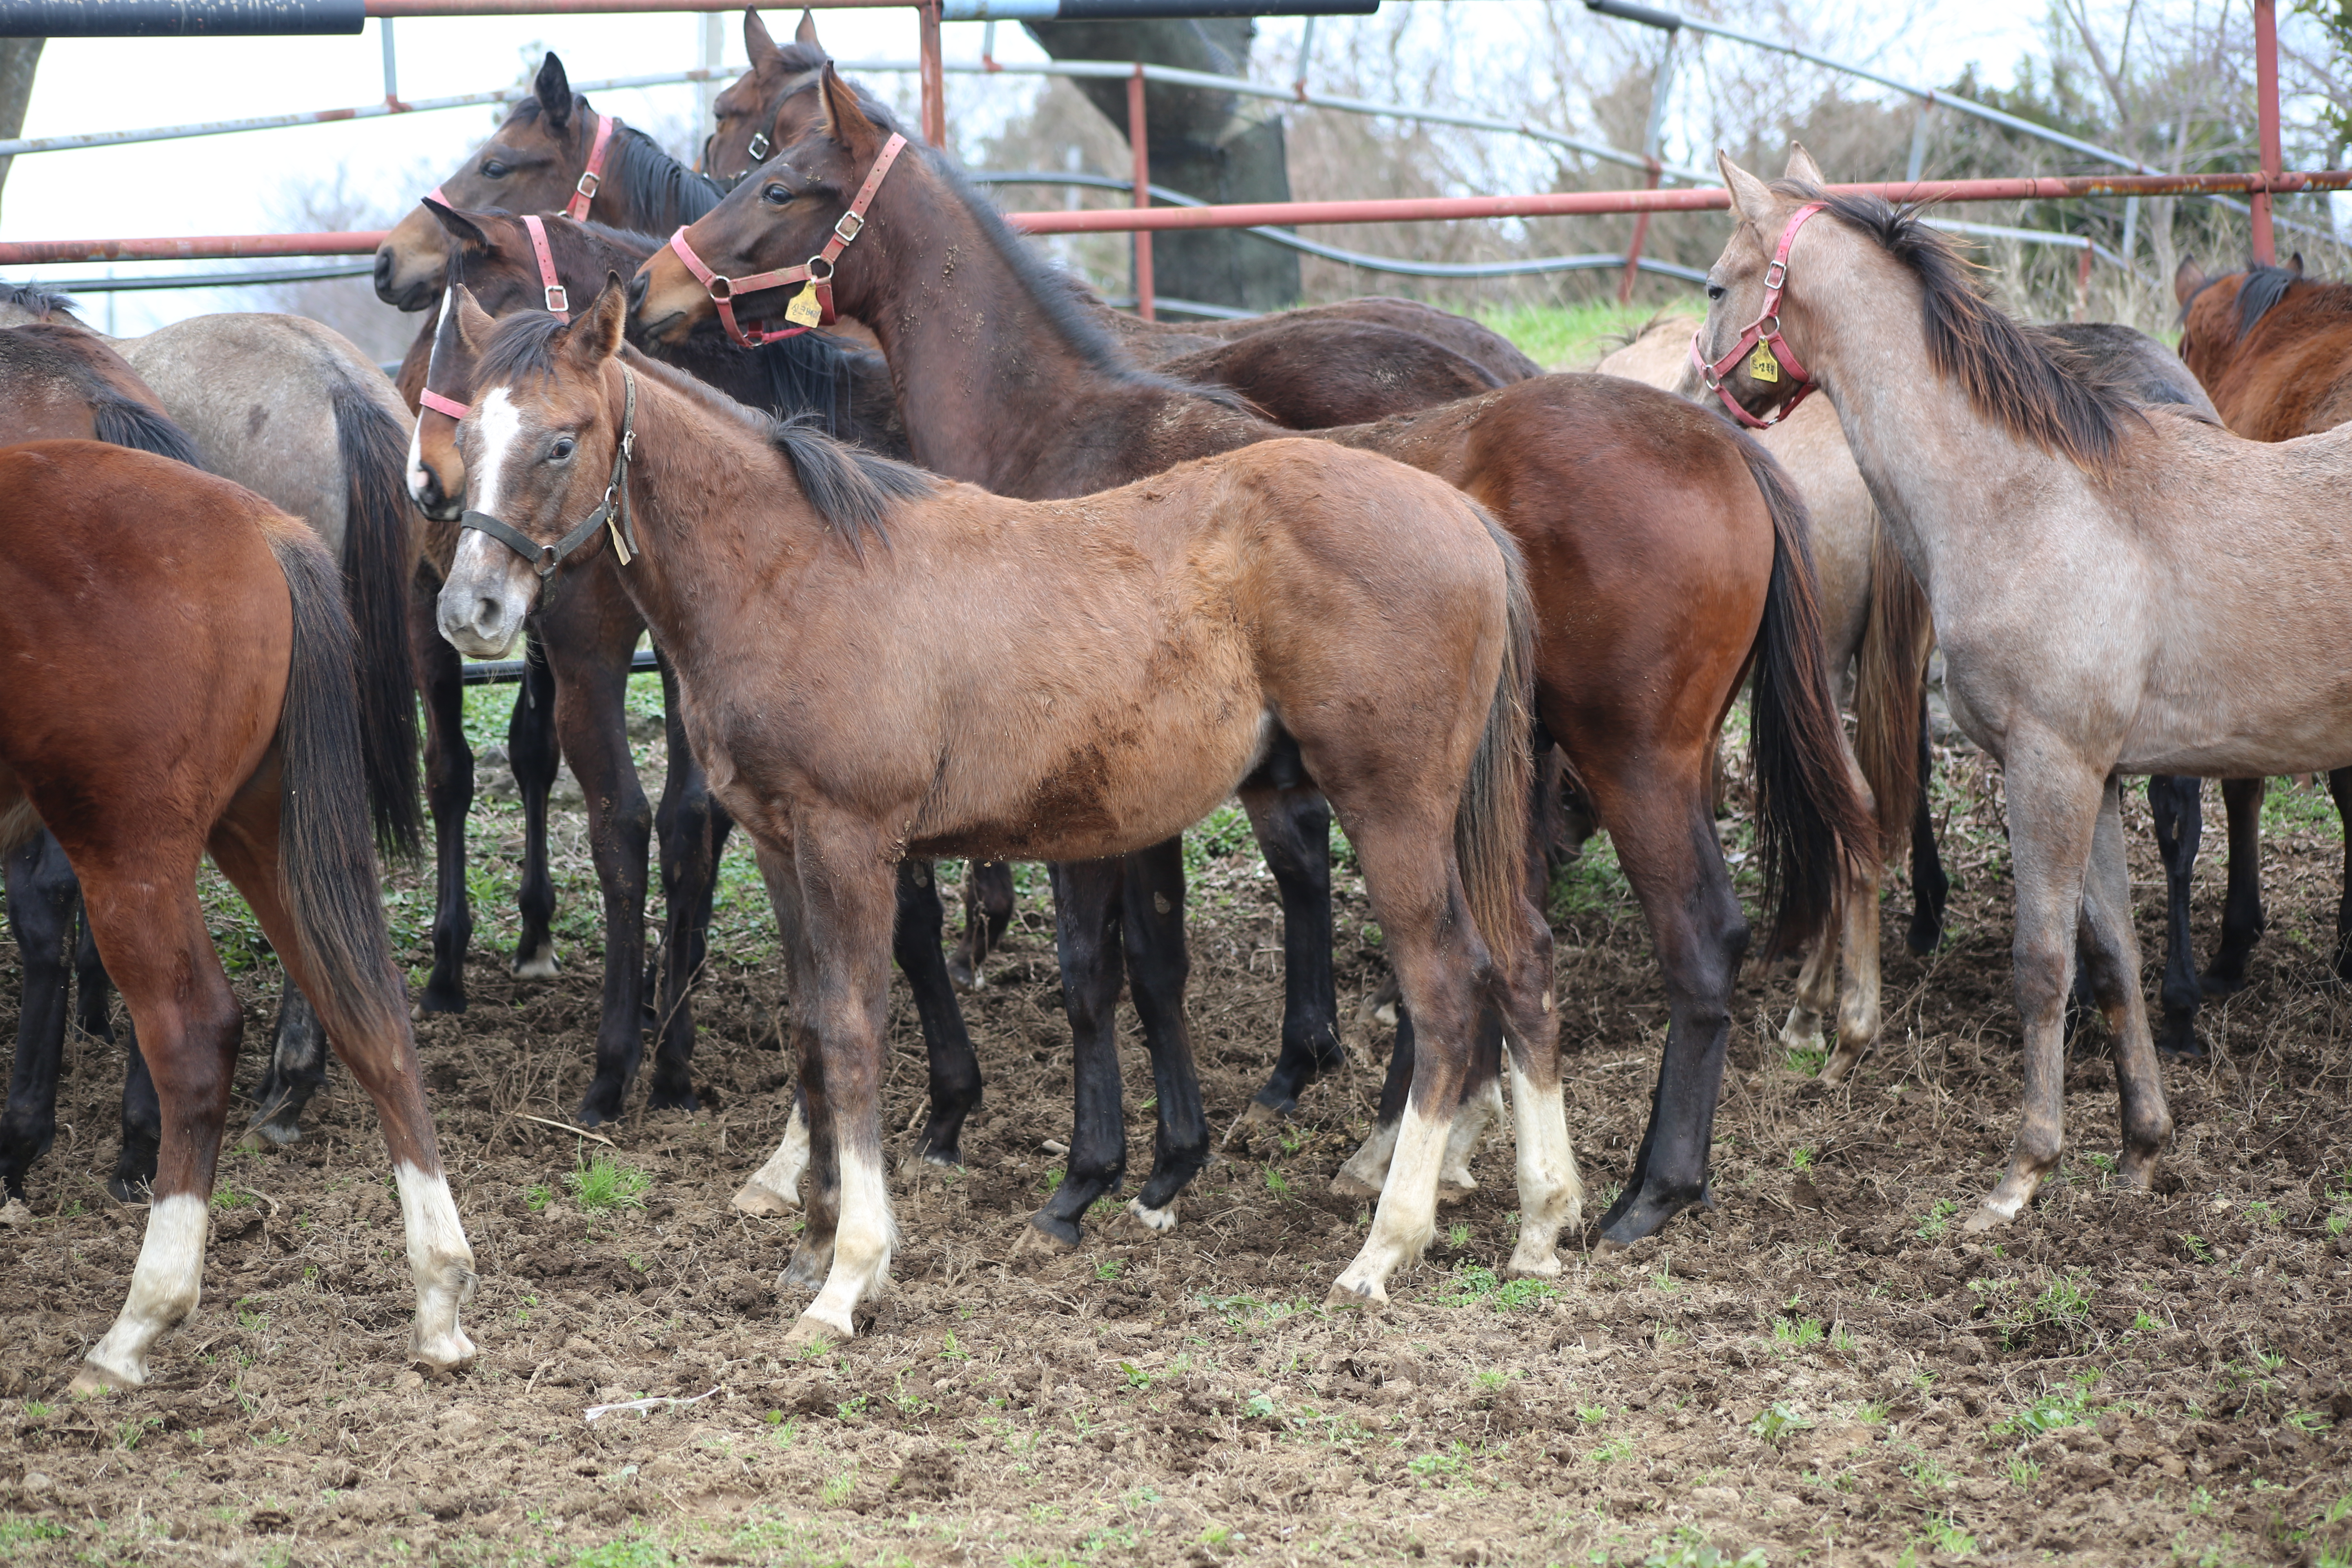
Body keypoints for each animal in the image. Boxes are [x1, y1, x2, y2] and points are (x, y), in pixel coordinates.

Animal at [1, 439, 482, 1382]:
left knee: (195, 1036)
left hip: (132, 853)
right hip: (266, 832)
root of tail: (263, 527)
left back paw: (137, 1324)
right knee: (371, 1017)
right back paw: (439, 1293)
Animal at [630, 67, 1872, 1260]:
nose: (649, 290)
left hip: (1630, 763)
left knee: (1690, 946)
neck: (1062, 432)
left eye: (777, 179)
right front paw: (1165, 1169)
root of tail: (1720, 446)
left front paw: (1090, 1180)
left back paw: (1641, 1194)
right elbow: (1157, 965)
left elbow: (1101, 971)